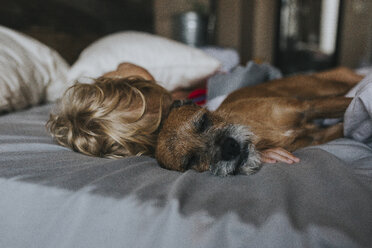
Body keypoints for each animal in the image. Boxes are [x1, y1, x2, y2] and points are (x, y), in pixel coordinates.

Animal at [155, 68, 364, 176]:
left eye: (203, 121)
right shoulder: (319, 136)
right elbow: (345, 124)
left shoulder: (308, 107)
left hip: (323, 86)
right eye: (191, 160)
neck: (259, 132)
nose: (229, 147)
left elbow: (352, 104)